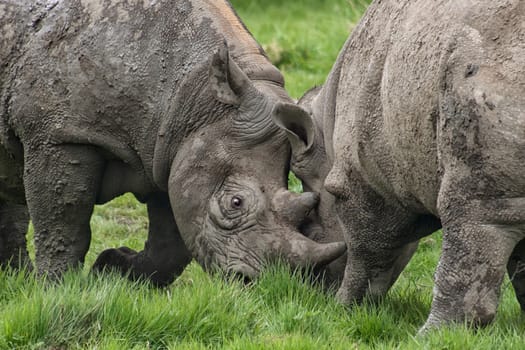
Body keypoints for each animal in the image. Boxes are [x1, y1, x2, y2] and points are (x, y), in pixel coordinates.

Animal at [1, 0, 348, 284]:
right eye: (235, 203)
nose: (253, 283)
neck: (197, 95)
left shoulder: (168, 148)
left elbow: (170, 246)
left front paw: (113, 269)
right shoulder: (61, 134)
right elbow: (63, 223)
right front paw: (57, 289)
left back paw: (16, 279)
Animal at [274, 0, 524, 330]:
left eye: (313, 225)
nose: (312, 284)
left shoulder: (364, 183)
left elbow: (367, 250)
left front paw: (345, 307)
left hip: (480, 74)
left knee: (472, 210)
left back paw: (430, 334)